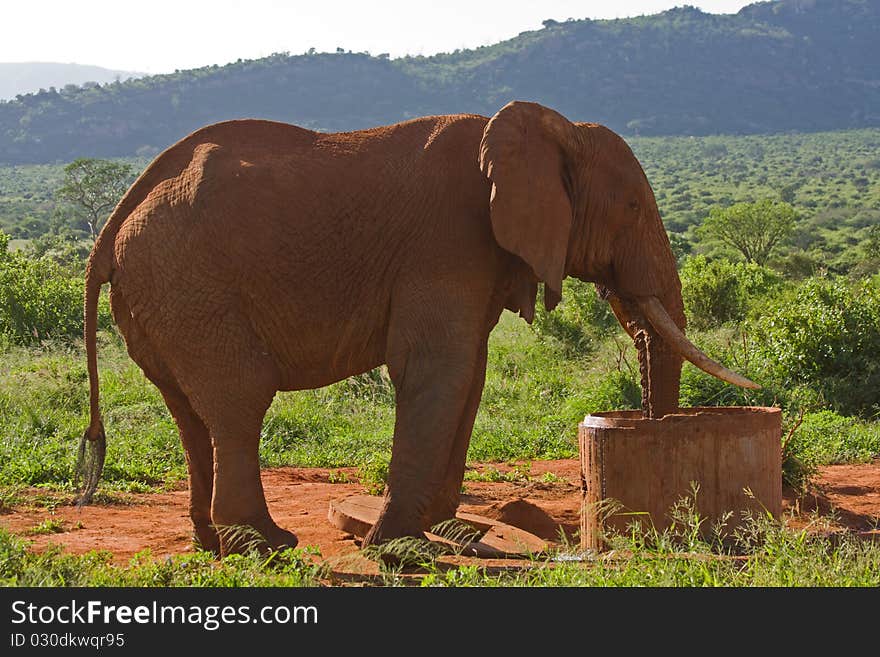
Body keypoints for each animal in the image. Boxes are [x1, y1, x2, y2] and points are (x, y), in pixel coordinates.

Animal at [81, 100, 756, 556]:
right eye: (634, 208)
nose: (650, 420)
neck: (545, 129)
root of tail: (114, 224)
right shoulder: (448, 239)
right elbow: (438, 370)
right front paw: (401, 547)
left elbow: (470, 375)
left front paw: (450, 532)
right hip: (189, 281)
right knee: (239, 398)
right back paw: (266, 546)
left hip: (160, 296)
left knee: (189, 411)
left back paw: (212, 543)